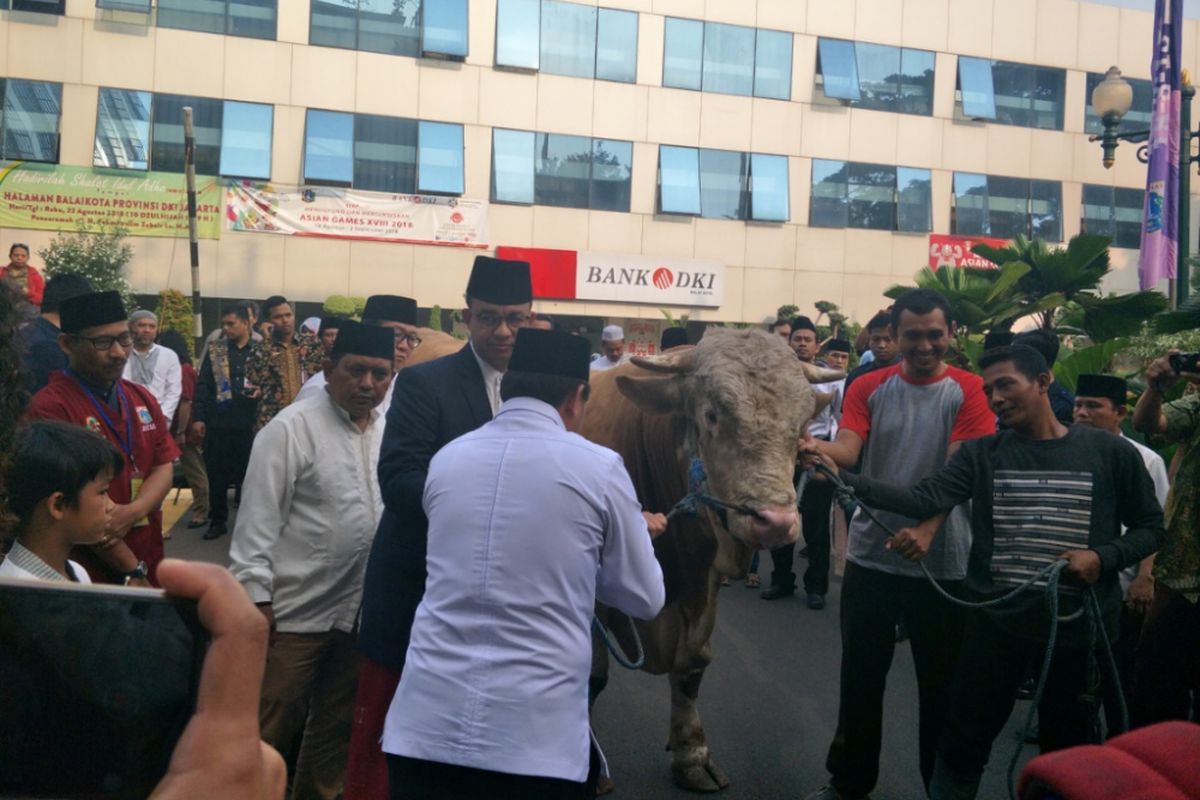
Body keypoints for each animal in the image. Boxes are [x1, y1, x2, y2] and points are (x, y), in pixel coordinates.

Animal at [583, 328, 844, 791]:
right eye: (711, 414)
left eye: (800, 426)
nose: (775, 521)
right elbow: (592, 677)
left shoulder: (701, 584)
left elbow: (693, 666)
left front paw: (691, 754)